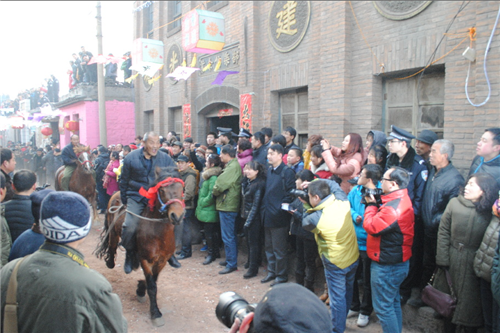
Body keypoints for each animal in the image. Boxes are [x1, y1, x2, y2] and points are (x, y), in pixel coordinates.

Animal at [94, 165, 185, 326]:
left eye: (181, 188)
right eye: (162, 190)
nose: (177, 216)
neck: (157, 232)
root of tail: (116, 193)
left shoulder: (162, 261)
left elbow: (153, 281)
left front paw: (141, 290)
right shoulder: (145, 259)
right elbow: (152, 286)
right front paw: (155, 313)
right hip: (114, 232)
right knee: (112, 246)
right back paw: (112, 262)